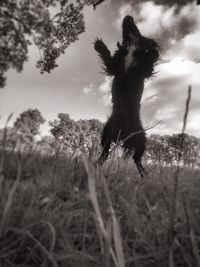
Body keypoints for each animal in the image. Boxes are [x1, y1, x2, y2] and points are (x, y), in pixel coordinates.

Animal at [94, 15, 159, 177]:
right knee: (105, 153)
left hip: (140, 140)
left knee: (137, 160)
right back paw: (95, 166)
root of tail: (122, 132)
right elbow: (108, 57)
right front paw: (99, 45)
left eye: (135, 28)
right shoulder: (115, 67)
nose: (128, 16)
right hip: (106, 134)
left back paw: (144, 176)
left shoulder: (144, 70)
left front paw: (151, 51)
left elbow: (150, 60)